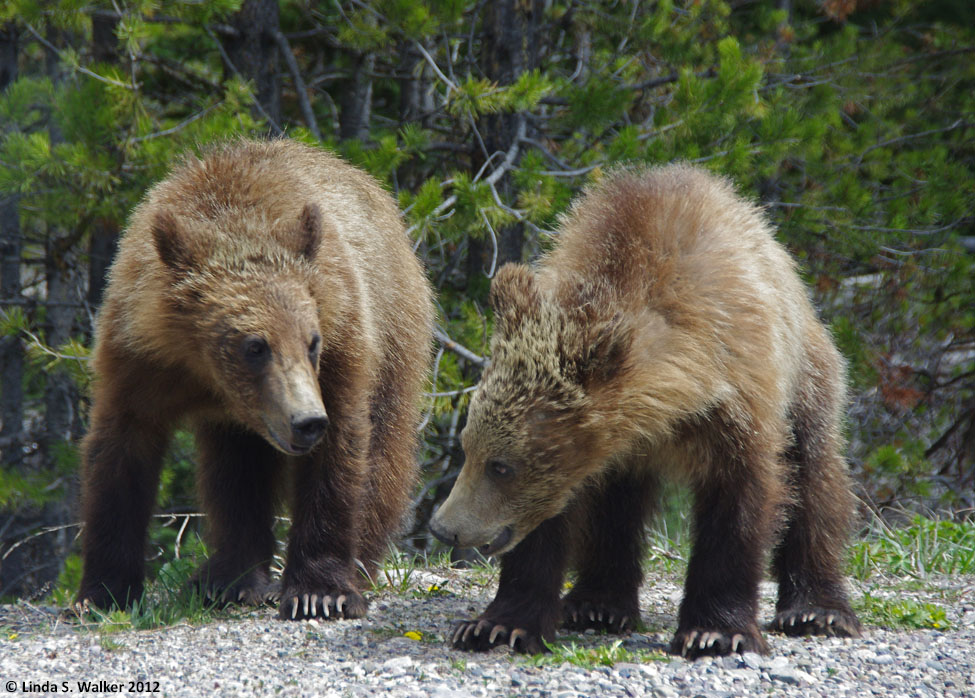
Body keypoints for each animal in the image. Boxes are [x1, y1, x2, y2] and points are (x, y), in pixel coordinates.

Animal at [76, 139, 433, 621]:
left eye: (312, 341)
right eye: (255, 346)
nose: (306, 421)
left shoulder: (341, 340)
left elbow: (341, 452)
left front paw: (320, 592)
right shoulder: (139, 359)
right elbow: (120, 455)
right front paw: (100, 593)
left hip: (395, 328)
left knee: (383, 452)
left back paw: (354, 566)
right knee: (236, 473)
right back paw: (229, 579)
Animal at [429, 163, 861, 657]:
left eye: (501, 466)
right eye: (469, 448)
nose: (444, 527)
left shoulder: (739, 400)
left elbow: (738, 505)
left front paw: (716, 632)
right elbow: (545, 521)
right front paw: (499, 625)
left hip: (808, 373)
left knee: (815, 475)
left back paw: (818, 609)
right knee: (616, 509)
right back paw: (597, 604)